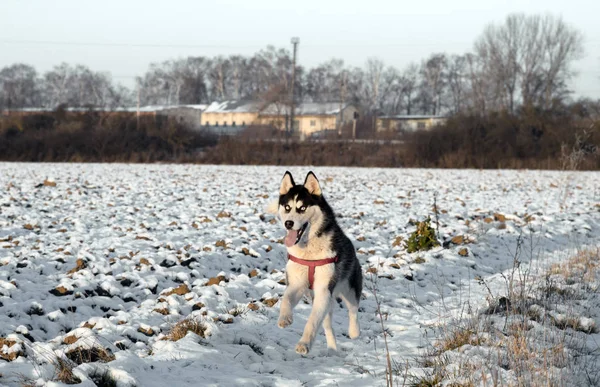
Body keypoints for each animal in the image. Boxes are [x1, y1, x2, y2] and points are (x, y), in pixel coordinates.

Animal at [274, 171, 364, 356]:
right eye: (287, 208)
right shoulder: (297, 283)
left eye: (302, 208)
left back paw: (354, 331)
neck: (309, 250)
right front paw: (285, 318)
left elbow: (313, 320)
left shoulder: (324, 289)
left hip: (349, 288)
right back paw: (332, 347)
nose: (288, 223)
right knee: (328, 324)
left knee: (353, 310)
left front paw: (304, 344)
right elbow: (286, 299)